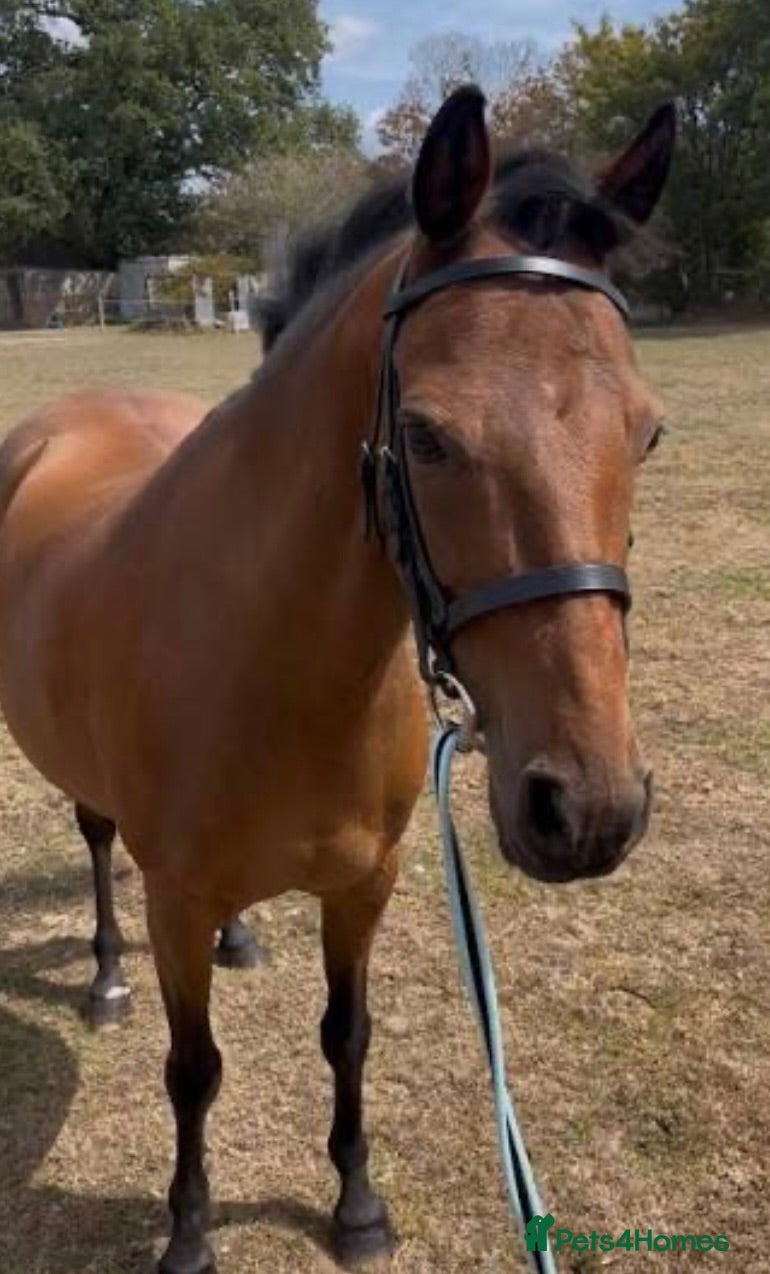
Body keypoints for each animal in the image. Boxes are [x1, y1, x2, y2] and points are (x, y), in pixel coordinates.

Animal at [0, 86, 674, 1272]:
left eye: (646, 432)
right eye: (427, 435)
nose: (587, 809)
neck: (280, 667)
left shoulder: (367, 882)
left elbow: (346, 1034)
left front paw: (357, 1206)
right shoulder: (173, 896)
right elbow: (194, 1070)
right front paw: (188, 1230)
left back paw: (239, 937)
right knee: (93, 838)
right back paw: (107, 974)